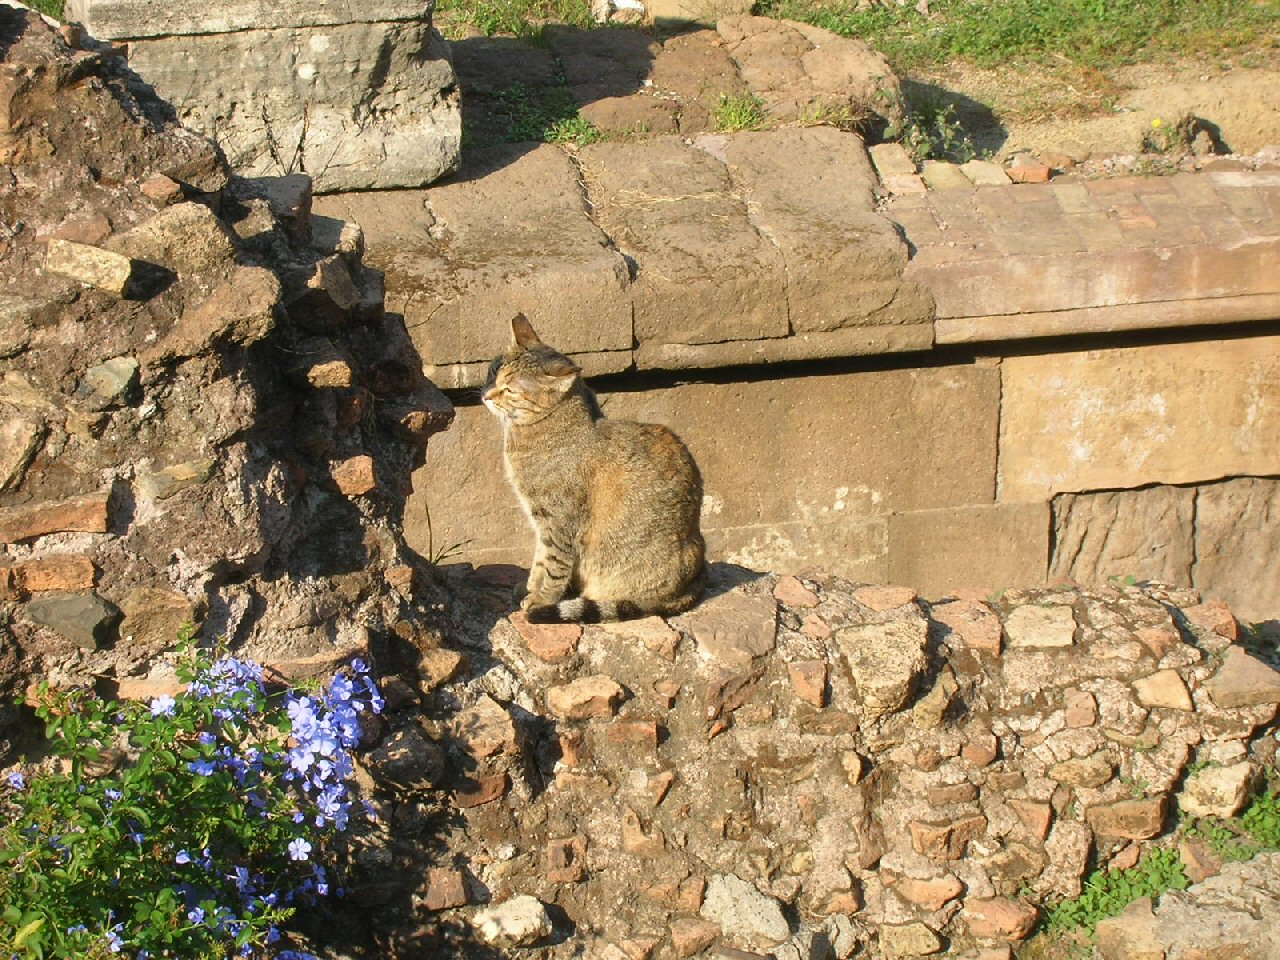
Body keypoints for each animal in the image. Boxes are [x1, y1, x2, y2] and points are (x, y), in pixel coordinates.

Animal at [481, 316, 706, 624]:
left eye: (510, 390)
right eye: (493, 371)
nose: (486, 395)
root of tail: (691, 587)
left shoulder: (557, 519)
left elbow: (554, 565)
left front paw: (541, 599)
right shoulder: (541, 520)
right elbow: (540, 558)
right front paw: (530, 588)